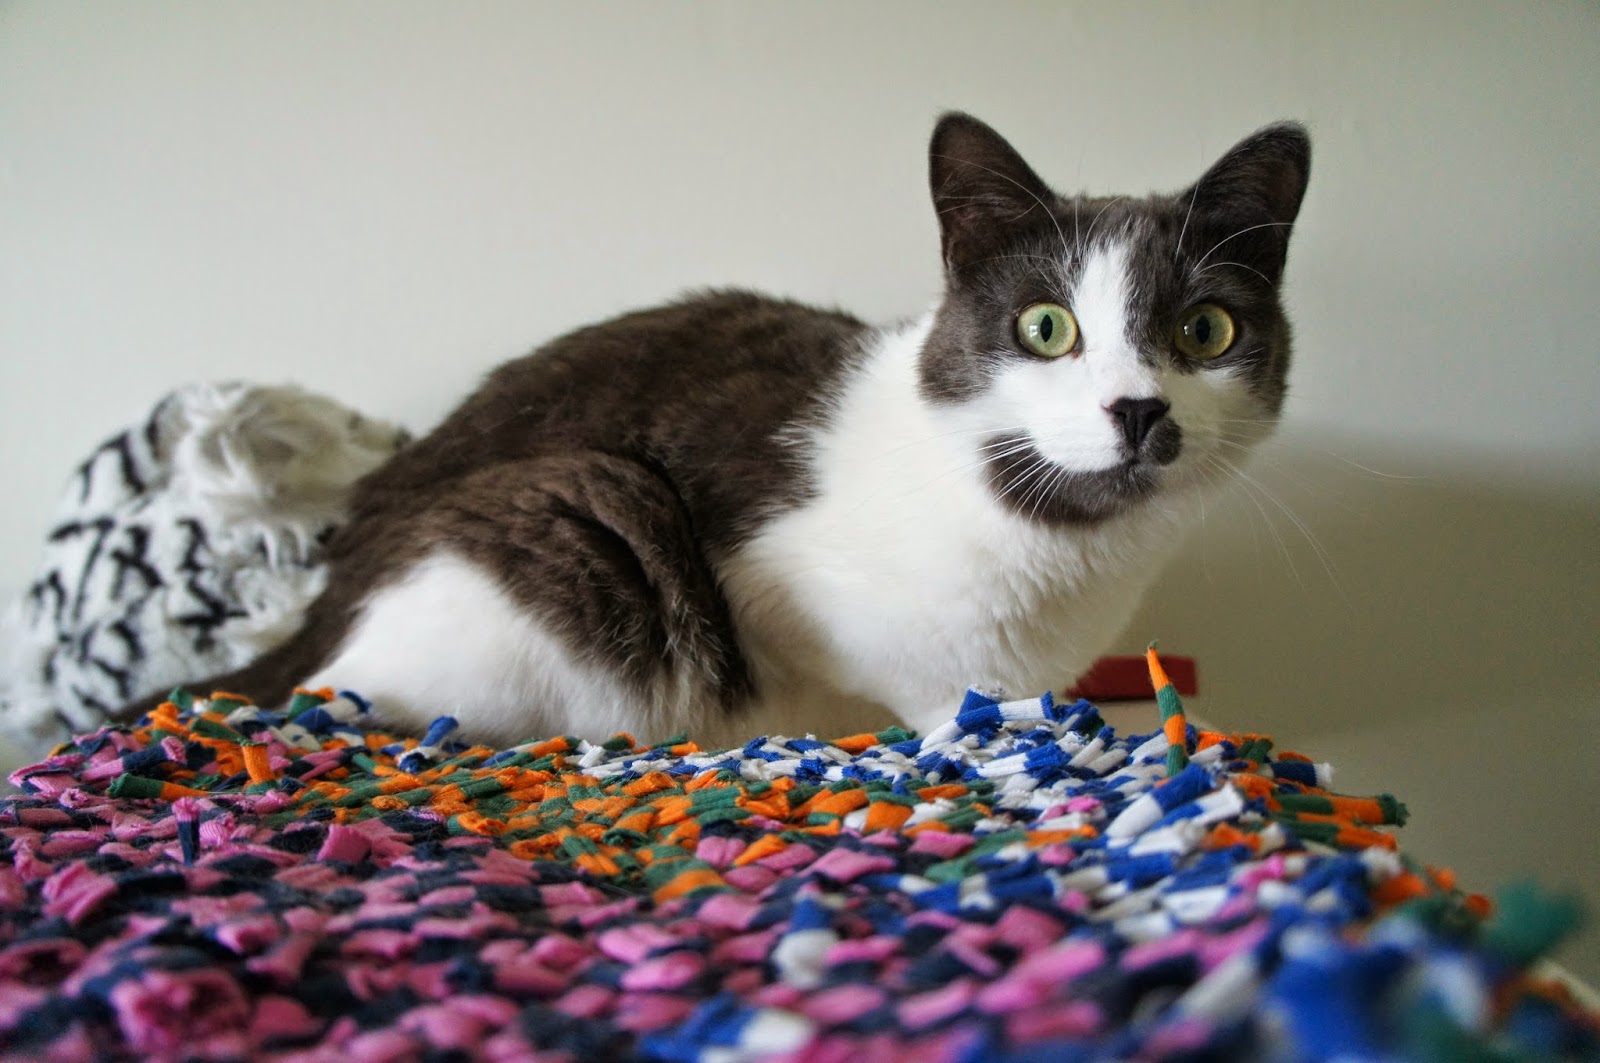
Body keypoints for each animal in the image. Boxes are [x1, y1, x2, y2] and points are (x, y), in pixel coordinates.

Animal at [121, 112, 1310, 749]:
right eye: (1047, 326)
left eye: (1205, 329)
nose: (1138, 407)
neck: (1065, 544)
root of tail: (325, 597)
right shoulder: (769, 579)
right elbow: (902, 685)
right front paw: (963, 734)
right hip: (582, 512)